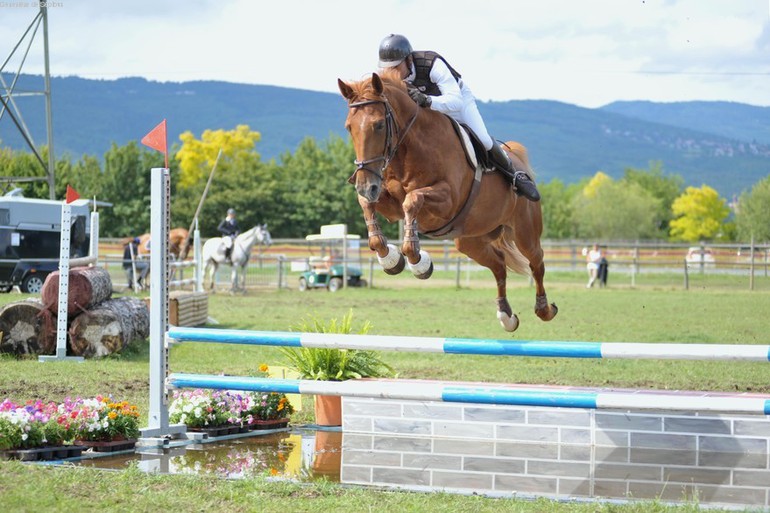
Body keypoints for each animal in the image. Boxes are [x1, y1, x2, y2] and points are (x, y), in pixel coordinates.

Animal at [340, 70, 556, 330]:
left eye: (379, 125)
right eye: (349, 128)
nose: (365, 186)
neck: (410, 150)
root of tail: (518, 160)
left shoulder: (447, 200)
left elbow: (412, 200)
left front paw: (417, 261)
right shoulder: (390, 205)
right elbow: (369, 204)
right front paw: (390, 258)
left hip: (524, 231)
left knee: (537, 262)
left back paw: (544, 309)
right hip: (470, 240)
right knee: (498, 264)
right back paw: (506, 315)